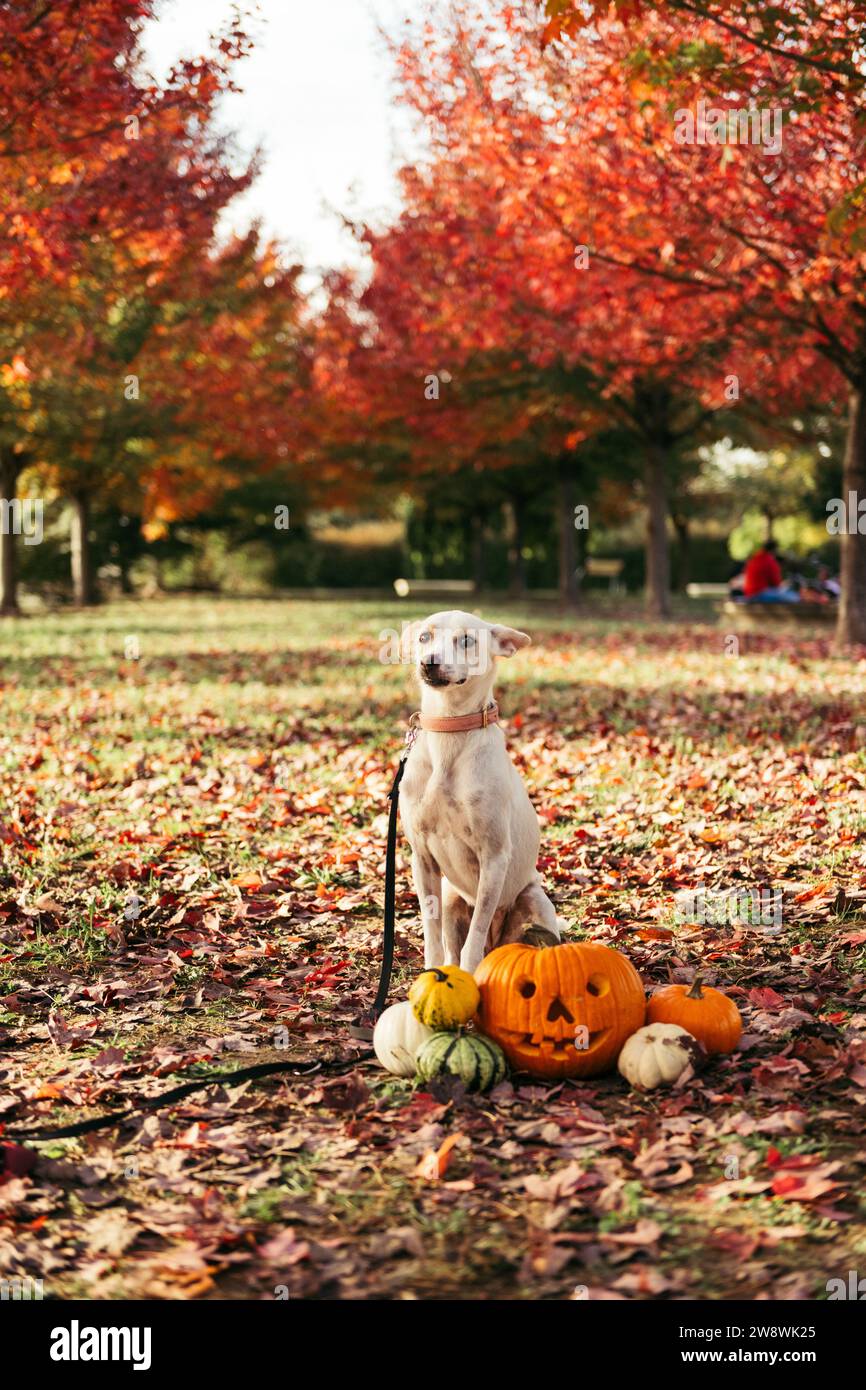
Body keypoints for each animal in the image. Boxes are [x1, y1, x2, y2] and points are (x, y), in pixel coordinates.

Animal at [400, 614, 561, 973]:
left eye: (466, 640)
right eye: (424, 637)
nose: (429, 662)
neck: (449, 729)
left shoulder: (494, 856)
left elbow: (473, 940)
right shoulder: (422, 857)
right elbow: (432, 934)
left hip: (534, 900)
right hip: (451, 896)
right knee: (450, 946)